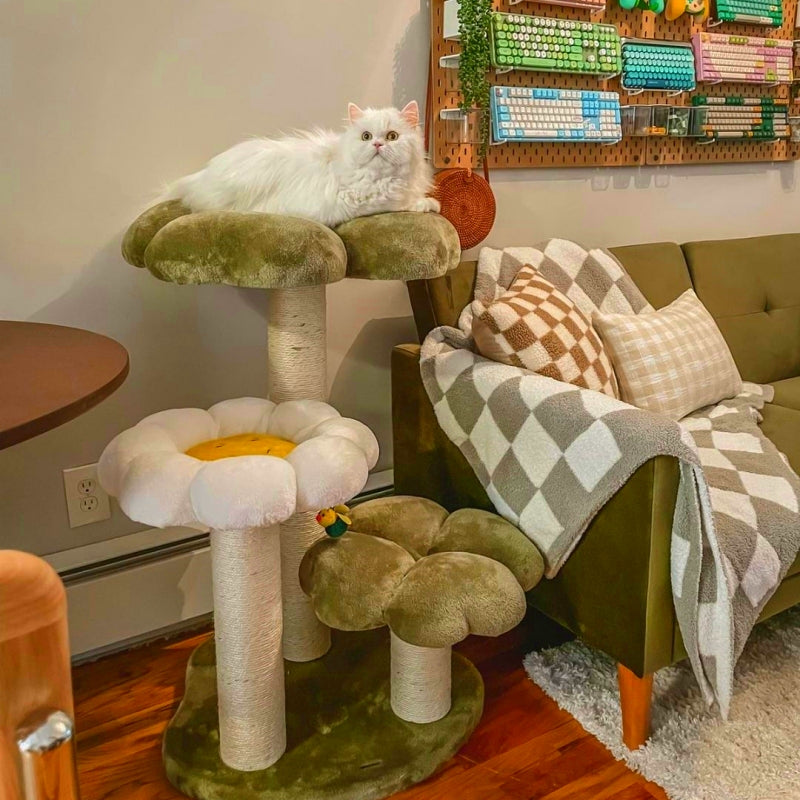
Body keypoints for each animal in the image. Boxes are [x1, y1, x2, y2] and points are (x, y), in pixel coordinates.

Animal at [166, 102, 440, 228]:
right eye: (366, 136)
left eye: (392, 136)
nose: (378, 145)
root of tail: (200, 176)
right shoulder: (359, 201)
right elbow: (399, 203)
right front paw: (427, 204)